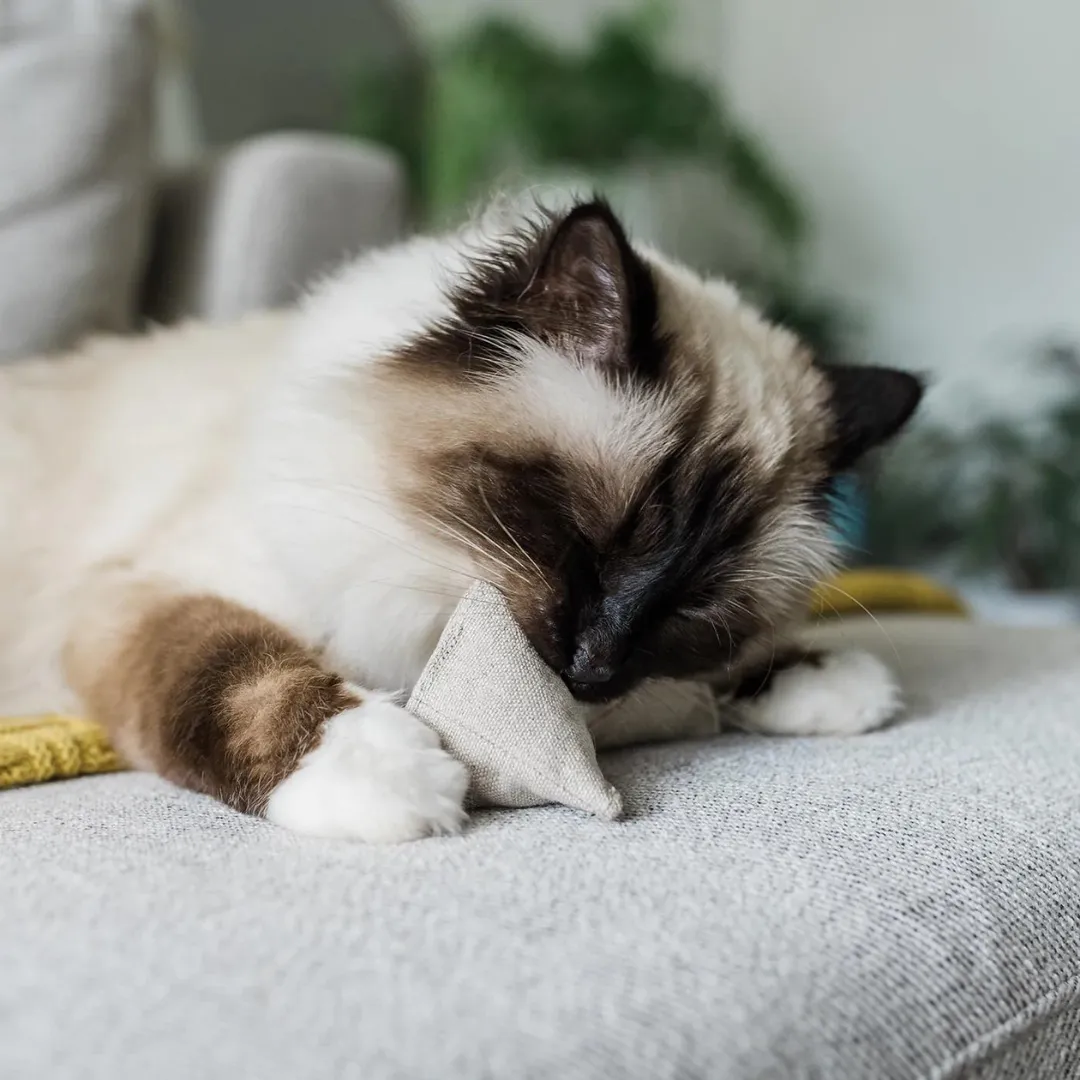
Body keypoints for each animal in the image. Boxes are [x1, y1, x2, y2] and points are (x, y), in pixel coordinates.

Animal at [0, 200, 924, 842]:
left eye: (689, 605)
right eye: (581, 541)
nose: (594, 671)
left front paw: (818, 679)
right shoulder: (145, 595)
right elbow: (236, 672)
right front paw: (379, 775)